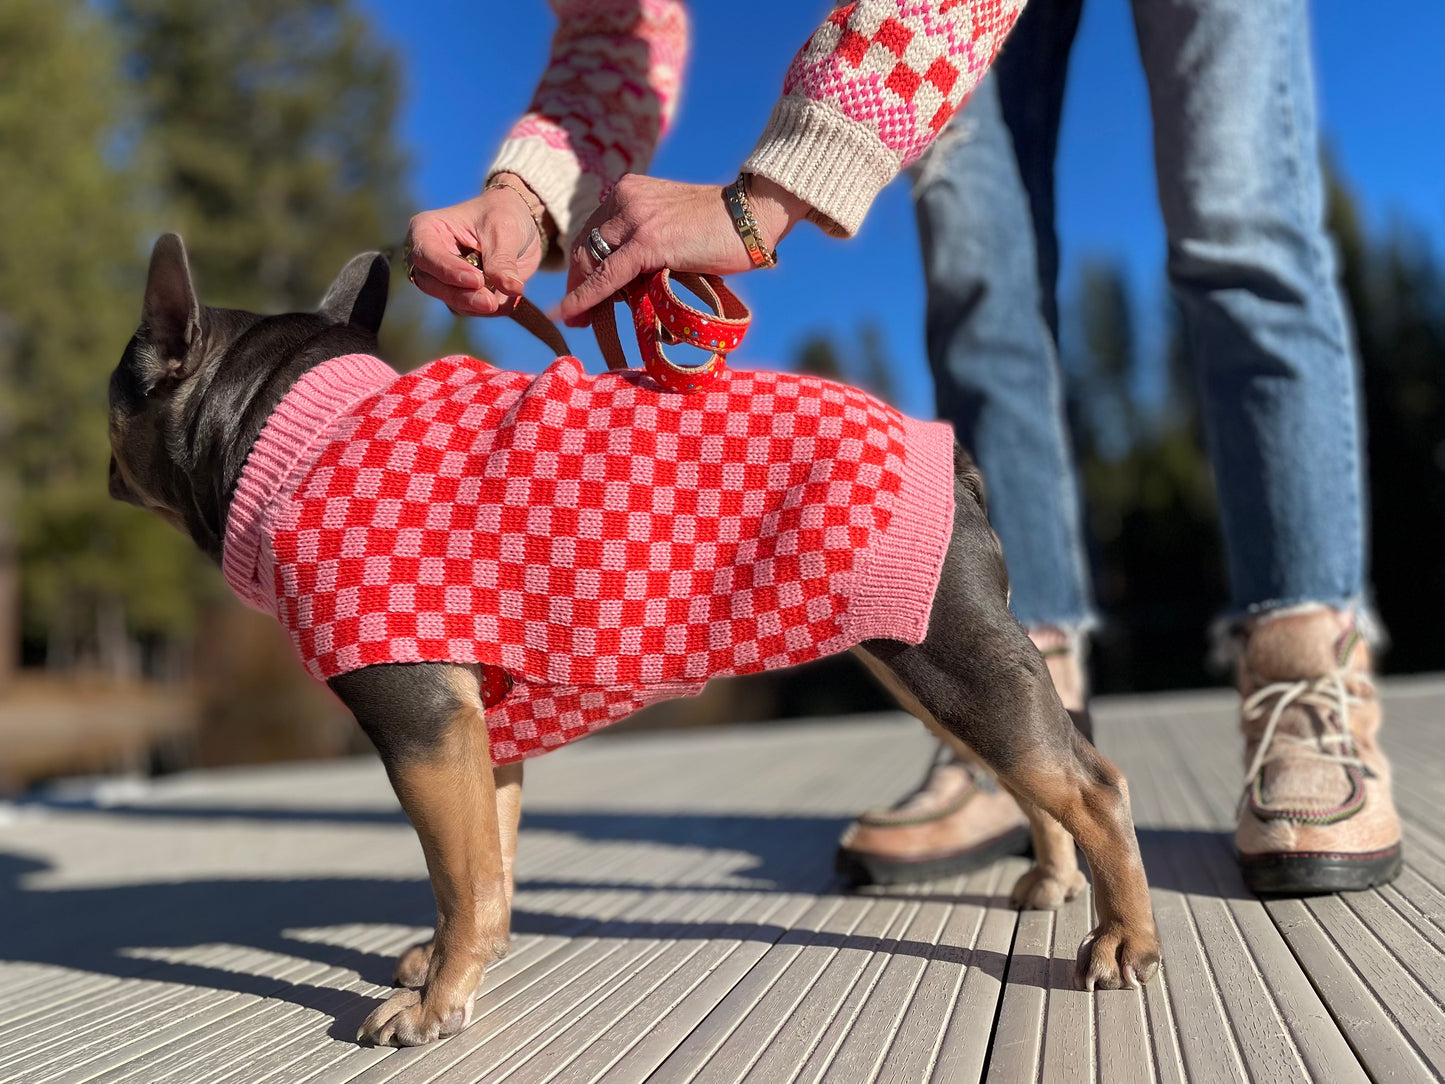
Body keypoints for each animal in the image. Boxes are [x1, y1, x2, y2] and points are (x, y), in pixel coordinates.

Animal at [104, 234, 1161, 1046]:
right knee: (1031, 772)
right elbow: (487, 862)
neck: (287, 426)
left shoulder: (418, 720)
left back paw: (1122, 941)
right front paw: (452, 965)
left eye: (115, 395)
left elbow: (459, 874)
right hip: (915, 662)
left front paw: (435, 1004)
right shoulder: (479, 735)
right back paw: (1054, 880)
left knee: (1091, 784)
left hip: (946, 657)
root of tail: (954, 456)